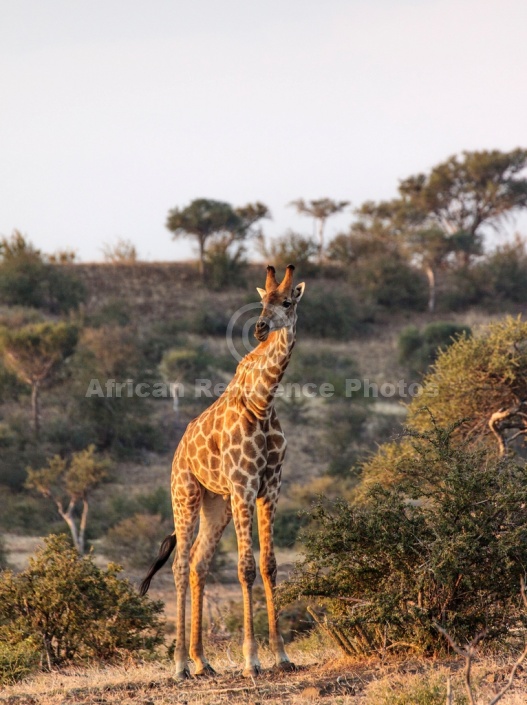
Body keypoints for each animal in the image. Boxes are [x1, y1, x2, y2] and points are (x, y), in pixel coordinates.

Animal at [140, 262, 306, 676]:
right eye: (262, 302)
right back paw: (180, 665)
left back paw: (202, 662)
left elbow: (269, 565)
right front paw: (252, 660)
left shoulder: (270, 487)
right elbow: (245, 567)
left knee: (199, 563)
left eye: (287, 301)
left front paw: (282, 656)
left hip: (217, 503)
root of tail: (178, 451)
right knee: (180, 565)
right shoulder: (244, 485)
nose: (261, 327)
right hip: (185, 494)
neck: (263, 401)